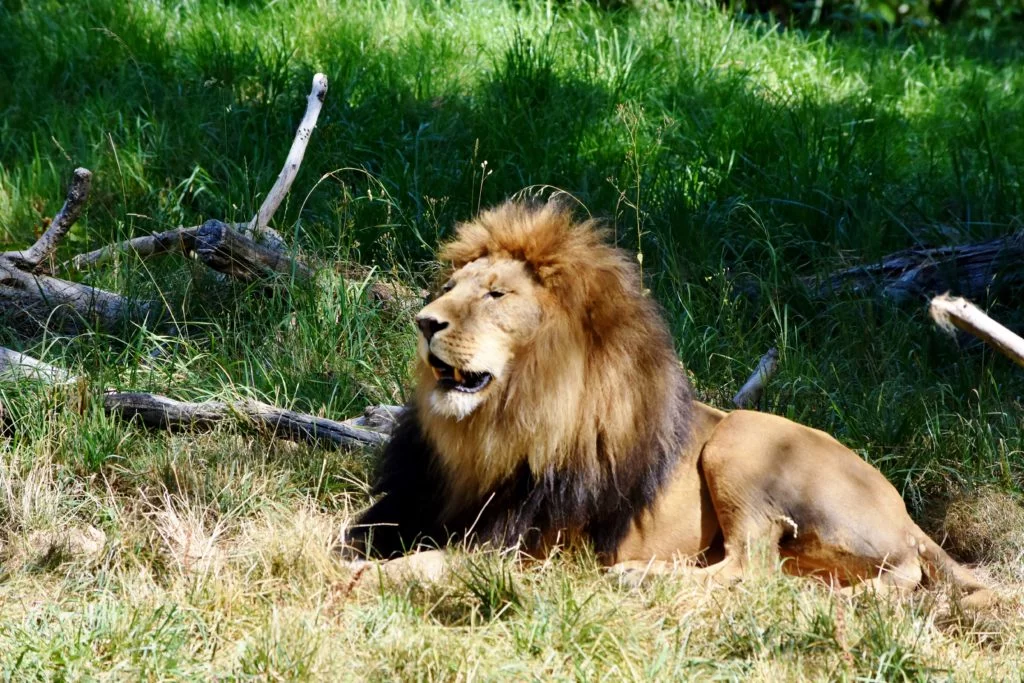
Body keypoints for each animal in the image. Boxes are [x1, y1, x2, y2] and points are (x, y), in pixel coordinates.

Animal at [342, 198, 991, 602]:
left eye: (496, 295)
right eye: (450, 288)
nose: (424, 322)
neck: (492, 428)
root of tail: (908, 518)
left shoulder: (517, 544)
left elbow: (429, 561)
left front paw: (367, 577)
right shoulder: (415, 501)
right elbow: (349, 533)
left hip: (744, 437)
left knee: (752, 567)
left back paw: (639, 579)